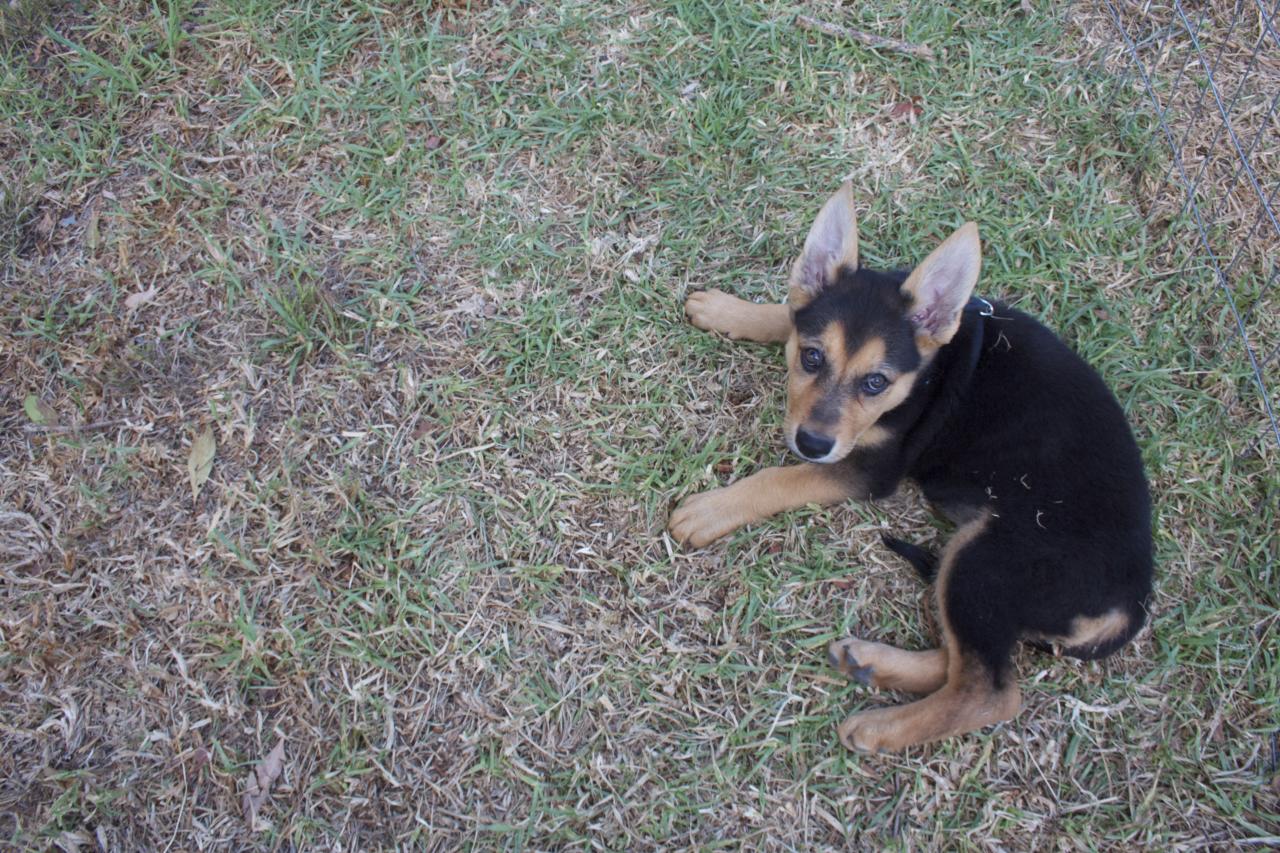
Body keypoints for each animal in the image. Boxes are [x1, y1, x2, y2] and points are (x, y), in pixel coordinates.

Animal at [675, 183, 1157, 747]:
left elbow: (781, 478)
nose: (812, 442)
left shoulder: (868, 468)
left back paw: (877, 728)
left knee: (988, 690)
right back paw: (869, 662)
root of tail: (1129, 606)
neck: (931, 372)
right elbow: (788, 313)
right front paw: (727, 310)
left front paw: (709, 511)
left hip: (987, 564)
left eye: (875, 382)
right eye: (812, 358)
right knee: (957, 661)